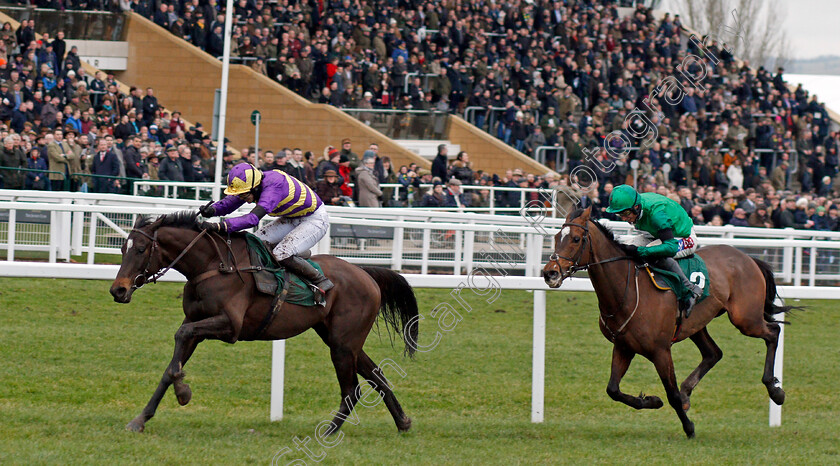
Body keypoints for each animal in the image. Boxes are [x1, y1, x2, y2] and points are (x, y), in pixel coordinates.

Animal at [110, 211, 418, 434]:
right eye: (123, 248)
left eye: (140, 249)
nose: (118, 290)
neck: (214, 265)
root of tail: (365, 273)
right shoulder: (197, 323)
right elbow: (171, 363)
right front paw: (141, 418)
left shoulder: (230, 326)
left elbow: (181, 335)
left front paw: (183, 392)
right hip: (341, 339)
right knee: (377, 375)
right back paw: (402, 422)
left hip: (343, 344)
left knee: (352, 389)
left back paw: (329, 432)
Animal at [540, 208, 792, 436]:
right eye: (556, 237)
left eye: (576, 239)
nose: (550, 273)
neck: (627, 290)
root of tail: (748, 257)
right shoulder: (623, 346)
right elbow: (613, 389)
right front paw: (651, 401)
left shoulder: (660, 350)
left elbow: (671, 394)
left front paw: (689, 428)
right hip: (696, 324)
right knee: (713, 353)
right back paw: (688, 392)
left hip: (745, 318)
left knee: (773, 331)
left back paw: (775, 390)